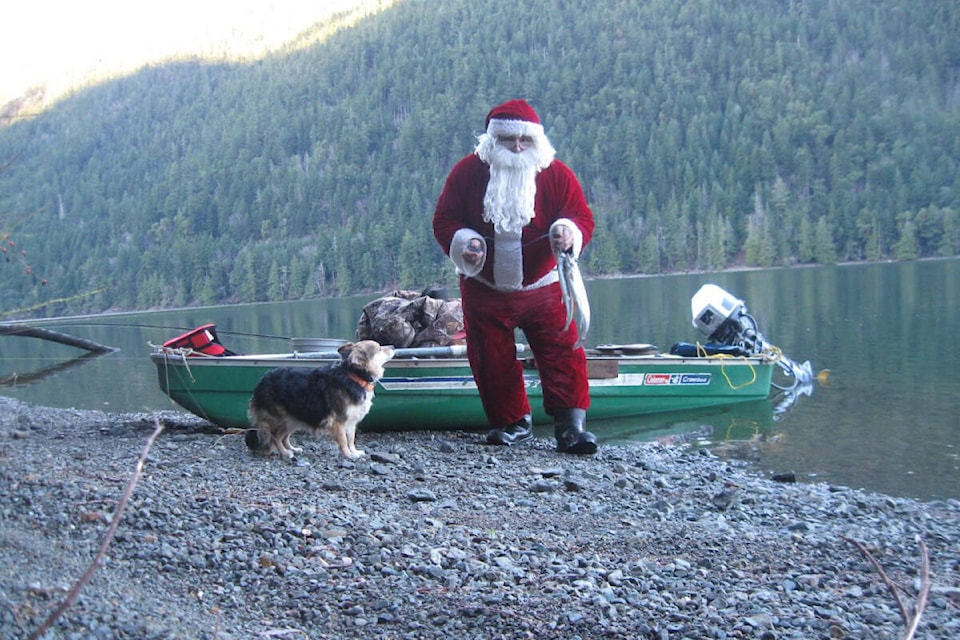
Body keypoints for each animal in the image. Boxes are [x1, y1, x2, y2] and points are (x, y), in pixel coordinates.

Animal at [248, 340, 398, 460]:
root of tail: (262, 381)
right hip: (282, 419)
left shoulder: (351, 420)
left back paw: (292, 448)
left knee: (284, 437)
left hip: (294, 418)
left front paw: (354, 452)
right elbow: (344, 440)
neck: (355, 377)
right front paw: (348, 455)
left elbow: (351, 438)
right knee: (275, 436)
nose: (393, 346)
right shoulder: (339, 421)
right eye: (379, 348)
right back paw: (285, 453)